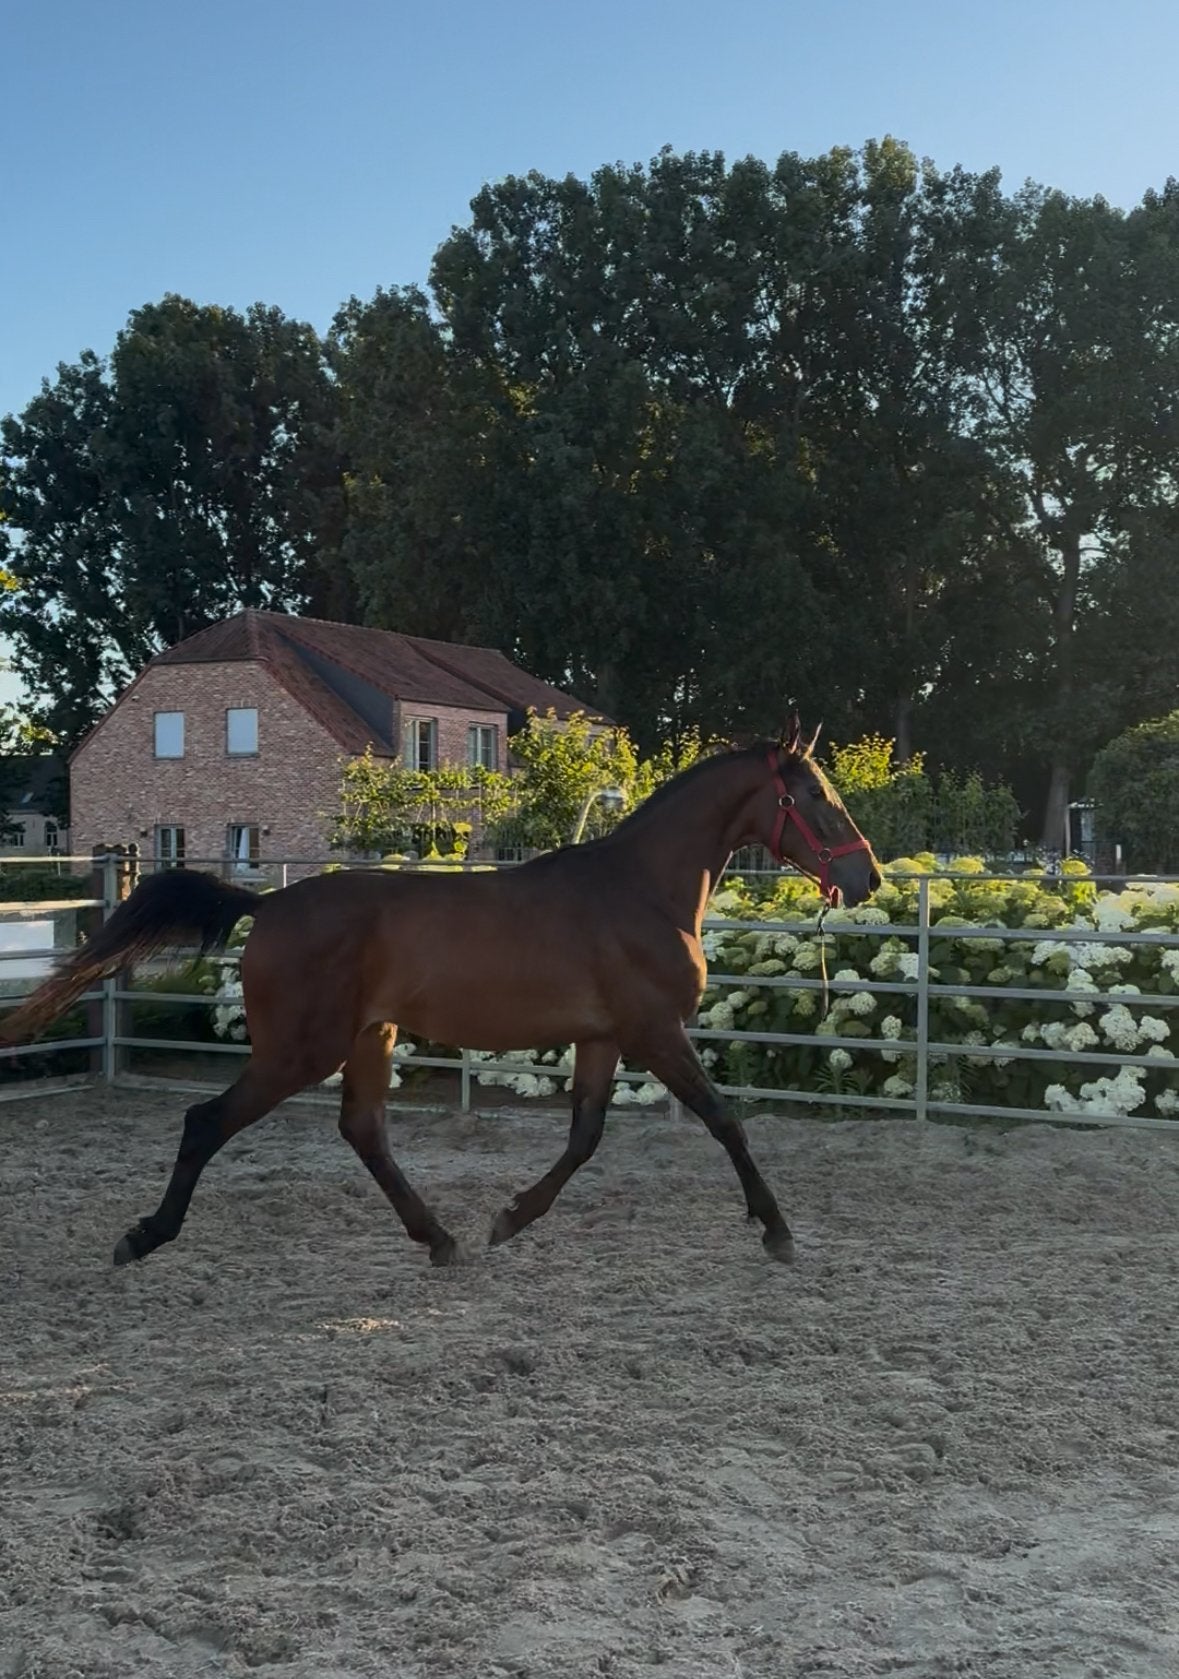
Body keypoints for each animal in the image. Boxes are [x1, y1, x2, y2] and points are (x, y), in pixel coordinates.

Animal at [2, 714, 880, 1269]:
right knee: (206, 1122)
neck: (640, 890)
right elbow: (724, 1120)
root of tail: (267, 904)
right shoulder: (655, 1031)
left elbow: (584, 1136)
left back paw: (440, 1239)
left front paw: (507, 1219)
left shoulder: (603, 1037)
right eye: (813, 796)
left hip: (368, 1038)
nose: (865, 875)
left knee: (362, 1132)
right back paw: (143, 1236)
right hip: (299, 1050)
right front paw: (776, 1230)